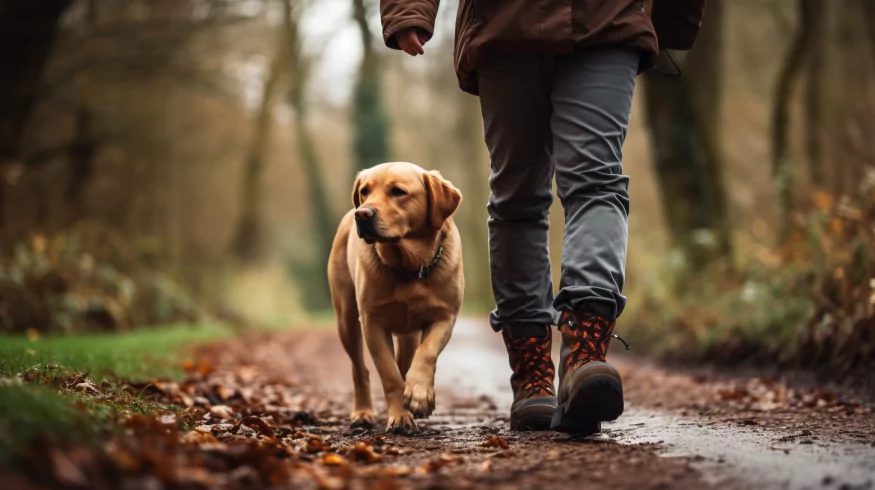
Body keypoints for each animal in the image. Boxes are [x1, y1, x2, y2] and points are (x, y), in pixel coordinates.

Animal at [328, 163, 466, 430]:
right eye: (365, 191)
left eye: (398, 191)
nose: (361, 214)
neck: (409, 267)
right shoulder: (372, 321)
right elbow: (389, 374)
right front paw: (400, 415)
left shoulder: (445, 316)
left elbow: (426, 352)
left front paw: (420, 394)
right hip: (346, 319)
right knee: (360, 369)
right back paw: (362, 413)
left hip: (407, 333)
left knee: (406, 361)